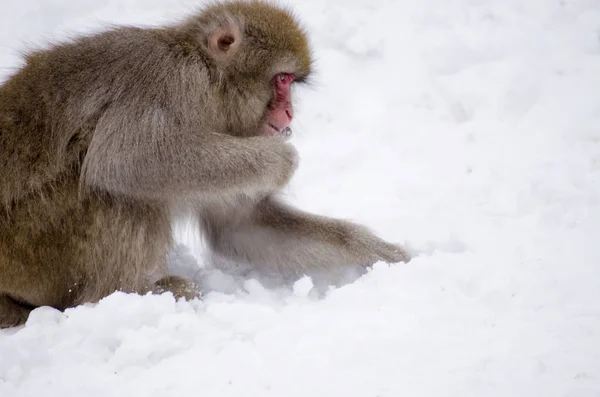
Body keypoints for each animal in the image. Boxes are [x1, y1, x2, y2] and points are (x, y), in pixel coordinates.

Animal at [0, 0, 408, 328]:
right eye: (281, 79)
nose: (289, 111)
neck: (213, 82)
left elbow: (240, 226)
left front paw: (383, 255)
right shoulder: (169, 80)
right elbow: (123, 159)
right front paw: (280, 158)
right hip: (31, 250)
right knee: (114, 189)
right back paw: (123, 295)